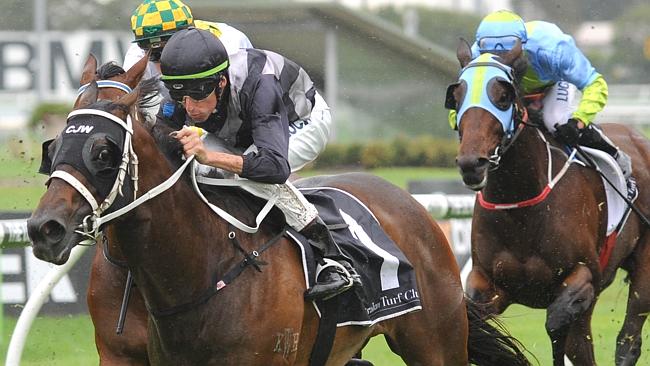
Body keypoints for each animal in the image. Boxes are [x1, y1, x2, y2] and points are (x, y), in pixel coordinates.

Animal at [27, 55, 528, 364]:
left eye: (103, 151)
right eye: (54, 146)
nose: (44, 228)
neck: (201, 268)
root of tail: (412, 204)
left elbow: (269, 162)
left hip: (437, 343)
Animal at [448, 38, 650, 364]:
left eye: (503, 96)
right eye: (456, 97)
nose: (471, 163)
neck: (520, 207)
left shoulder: (582, 277)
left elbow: (556, 325)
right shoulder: (487, 284)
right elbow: (473, 323)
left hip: (643, 268)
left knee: (626, 340)